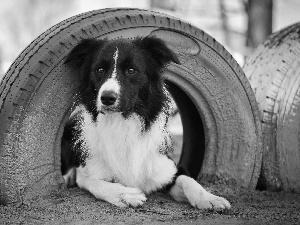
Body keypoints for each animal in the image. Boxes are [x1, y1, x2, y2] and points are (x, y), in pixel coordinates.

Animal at [60, 36, 230, 210]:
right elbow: (94, 182)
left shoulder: (169, 169)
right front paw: (126, 194)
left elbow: (188, 180)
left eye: (131, 70)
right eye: (99, 70)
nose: (107, 98)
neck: (122, 122)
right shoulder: (87, 170)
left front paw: (210, 198)